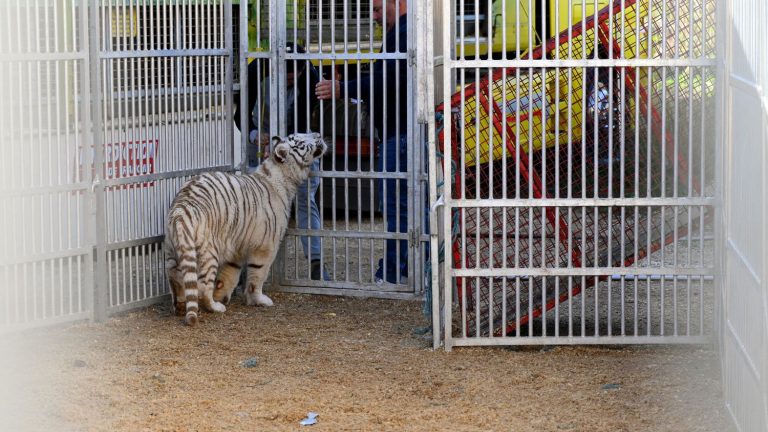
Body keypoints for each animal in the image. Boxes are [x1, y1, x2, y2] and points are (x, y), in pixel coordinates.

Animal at [165, 133, 328, 326]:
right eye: (301, 141)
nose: (318, 134)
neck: (280, 177)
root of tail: (181, 208)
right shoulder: (266, 246)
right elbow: (257, 275)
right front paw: (258, 300)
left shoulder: (237, 246)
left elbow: (229, 274)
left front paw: (221, 294)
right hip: (208, 252)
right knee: (203, 286)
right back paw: (214, 307)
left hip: (173, 250)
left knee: (175, 276)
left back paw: (181, 306)